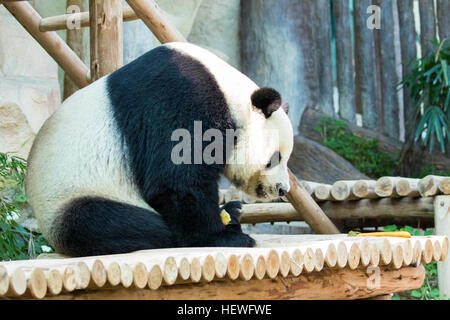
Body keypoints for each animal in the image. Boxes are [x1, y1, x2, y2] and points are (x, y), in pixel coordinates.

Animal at [27, 42, 296, 258]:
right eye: (274, 159)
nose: (282, 189)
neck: (229, 95)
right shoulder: (182, 98)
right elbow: (176, 180)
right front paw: (222, 237)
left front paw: (228, 215)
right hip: (75, 194)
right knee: (112, 224)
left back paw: (231, 211)